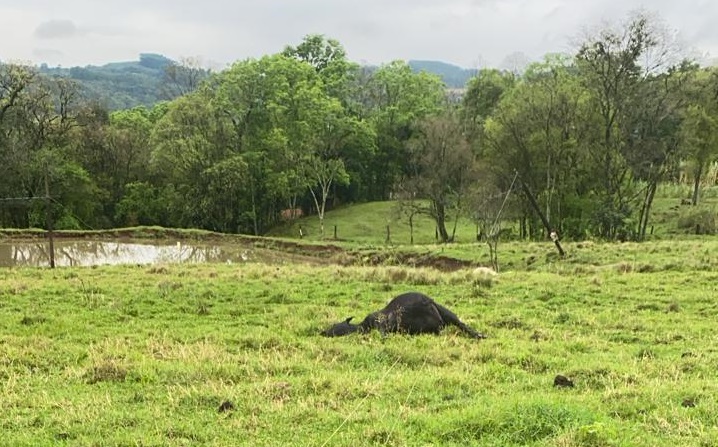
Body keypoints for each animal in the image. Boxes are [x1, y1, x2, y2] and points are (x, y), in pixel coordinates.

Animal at [322, 290, 486, 340]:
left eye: (334, 325)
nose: (322, 331)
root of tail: (430, 302)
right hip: (449, 315)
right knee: (463, 325)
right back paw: (480, 335)